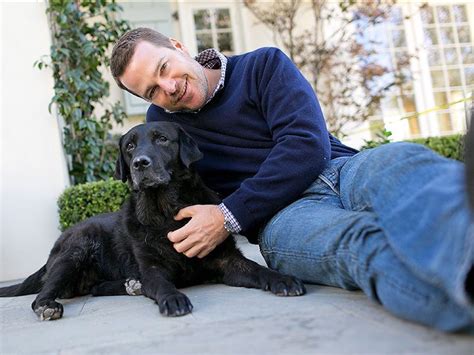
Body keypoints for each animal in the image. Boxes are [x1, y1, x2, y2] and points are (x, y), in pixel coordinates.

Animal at [0, 121, 306, 320]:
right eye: (129, 147)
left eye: (162, 139)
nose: (140, 163)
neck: (166, 212)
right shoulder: (152, 267)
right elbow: (161, 285)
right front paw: (173, 298)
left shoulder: (226, 259)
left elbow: (258, 269)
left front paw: (283, 279)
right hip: (76, 249)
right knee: (44, 293)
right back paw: (48, 305)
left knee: (95, 289)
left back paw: (130, 285)